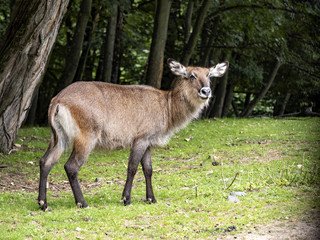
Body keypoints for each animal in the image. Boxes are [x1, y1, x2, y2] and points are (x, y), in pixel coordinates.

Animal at [37, 58, 229, 210]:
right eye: (191, 75)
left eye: (209, 75)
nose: (206, 91)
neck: (167, 106)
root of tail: (57, 100)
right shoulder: (140, 139)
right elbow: (133, 167)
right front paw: (126, 199)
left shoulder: (148, 142)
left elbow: (148, 169)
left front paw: (151, 199)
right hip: (86, 137)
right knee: (71, 166)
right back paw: (82, 203)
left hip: (59, 138)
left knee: (45, 161)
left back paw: (43, 204)